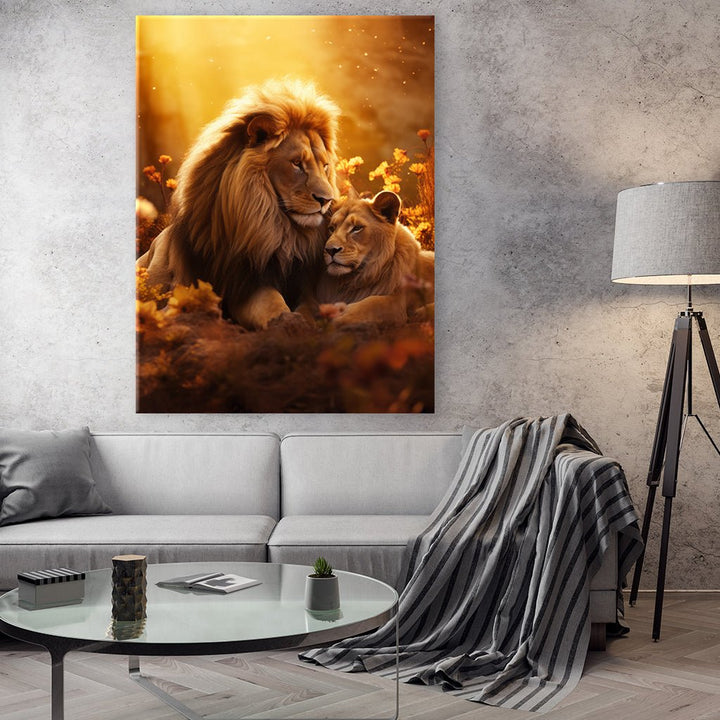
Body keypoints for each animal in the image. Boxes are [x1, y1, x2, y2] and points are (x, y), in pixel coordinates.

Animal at [136, 79, 340, 329]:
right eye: (296, 163)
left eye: (325, 166)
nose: (326, 200)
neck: (276, 230)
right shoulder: (242, 281)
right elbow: (271, 302)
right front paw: (288, 322)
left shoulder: (302, 282)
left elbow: (311, 307)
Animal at [311, 190, 434, 325]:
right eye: (331, 228)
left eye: (357, 228)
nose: (330, 250)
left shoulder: (397, 304)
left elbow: (372, 303)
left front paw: (340, 317)